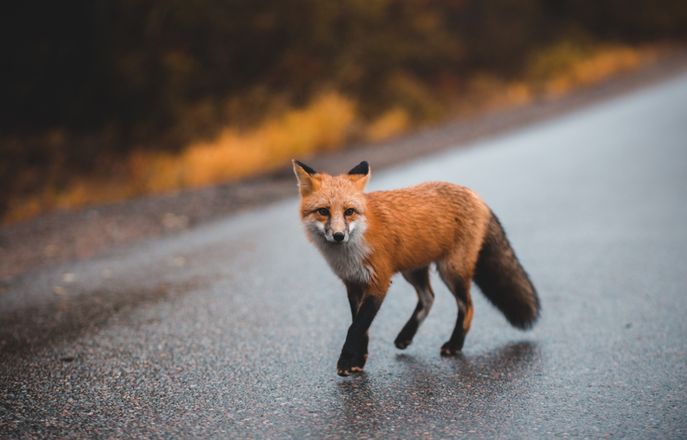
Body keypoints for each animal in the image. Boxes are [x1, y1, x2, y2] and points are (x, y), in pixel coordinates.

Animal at [292, 160, 540, 376]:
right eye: (323, 211)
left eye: (349, 211)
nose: (338, 235)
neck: (352, 249)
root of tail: (475, 195)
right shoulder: (353, 283)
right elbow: (361, 327)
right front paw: (358, 360)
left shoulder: (379, 282)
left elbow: (356, 328)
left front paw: (345, 362)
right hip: (413, 270)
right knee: (429, 298)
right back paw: (406, 335)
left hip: (451, 270)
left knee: (467, 306)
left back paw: (455, 344)